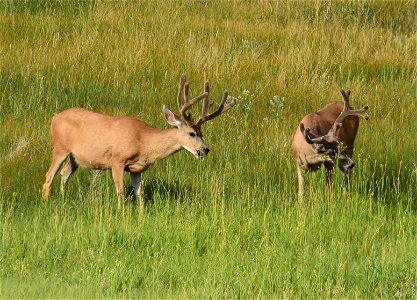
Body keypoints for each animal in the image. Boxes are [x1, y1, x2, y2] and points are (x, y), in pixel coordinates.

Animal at [43, 74, 237, 210]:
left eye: (201, 133)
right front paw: (121, 213)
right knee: (49, 176)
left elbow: (140, 195)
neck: (144, 142)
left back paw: (62, 199)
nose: (205, 149)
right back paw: (46, 201)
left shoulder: (137, 169)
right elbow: (121, 192)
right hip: (60, 147)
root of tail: (54, 118)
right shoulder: (117, 160)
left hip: (75, 157)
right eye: (191, 133)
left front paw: (141, 215)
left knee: (64, 174)